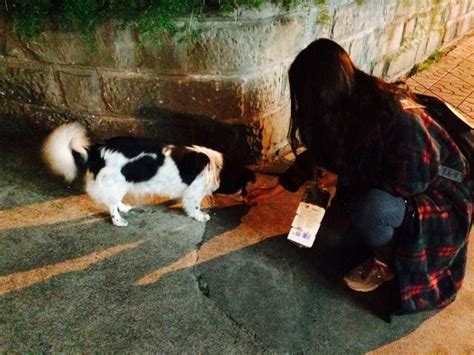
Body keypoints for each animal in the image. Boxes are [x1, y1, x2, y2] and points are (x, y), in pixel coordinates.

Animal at [41, 124, 256, 227]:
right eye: (243, 186)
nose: (247, 197)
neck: (217, 166)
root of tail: (97, 150)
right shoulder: (194, 193)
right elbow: (194, 207)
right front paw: (200, 216)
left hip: (120, 183)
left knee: (114, 201)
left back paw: (123, 207)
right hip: (116, 182)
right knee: (111, 206)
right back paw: (118, 221)